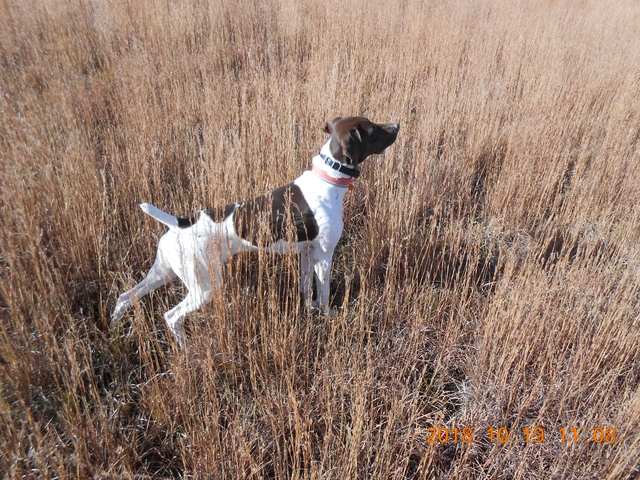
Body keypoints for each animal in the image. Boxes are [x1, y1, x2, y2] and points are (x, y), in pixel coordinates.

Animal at [111, 118, 400, 346]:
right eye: (373, 129)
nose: (396, 125)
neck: (327, 178)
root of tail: (178, 222)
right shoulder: (324, 255)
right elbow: (324, 292)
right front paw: (327, 314)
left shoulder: (307, 253)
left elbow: (307, 288)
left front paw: (309, 309)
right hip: (203, 287)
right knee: (171, 316)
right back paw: (186, 349)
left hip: (165, 271)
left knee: (125, 297)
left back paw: (115, 329)